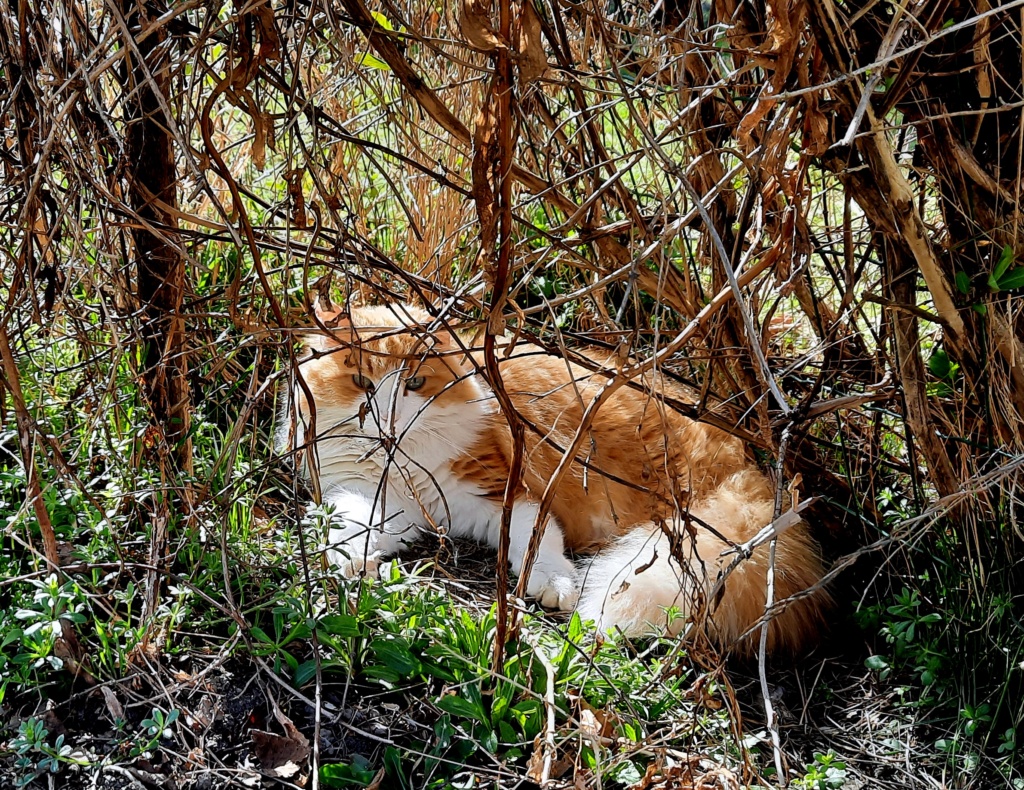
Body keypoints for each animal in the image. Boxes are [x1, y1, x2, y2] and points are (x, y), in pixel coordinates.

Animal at [280, 299, 831, 651]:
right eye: (361, 381)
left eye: (414, 382)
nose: (386, 418)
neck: (404, 466)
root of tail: (746, 463)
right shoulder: (379, 499)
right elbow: (348, 525)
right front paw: (347, 559)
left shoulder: (505, 493)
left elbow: (537, 543)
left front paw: (555, 585)